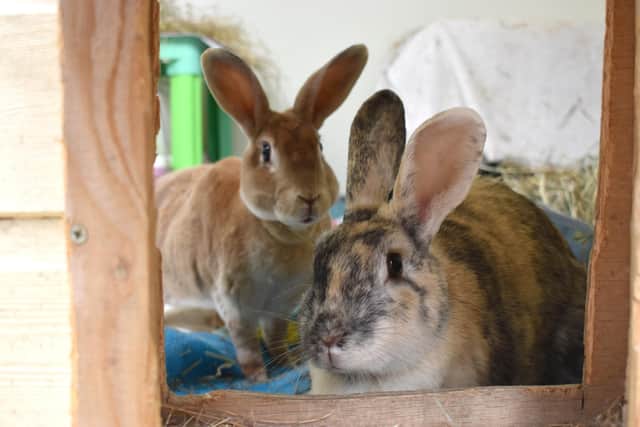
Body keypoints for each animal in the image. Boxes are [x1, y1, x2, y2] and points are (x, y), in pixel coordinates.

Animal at [156, 45, 368, 381]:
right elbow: (246, 345)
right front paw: (259, 377)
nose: (309, 197)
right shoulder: (234, 303)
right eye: (266, 151)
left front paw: (286, 366)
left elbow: (276, 336)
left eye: (319, 146)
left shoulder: (279, 306)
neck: (282, 231)